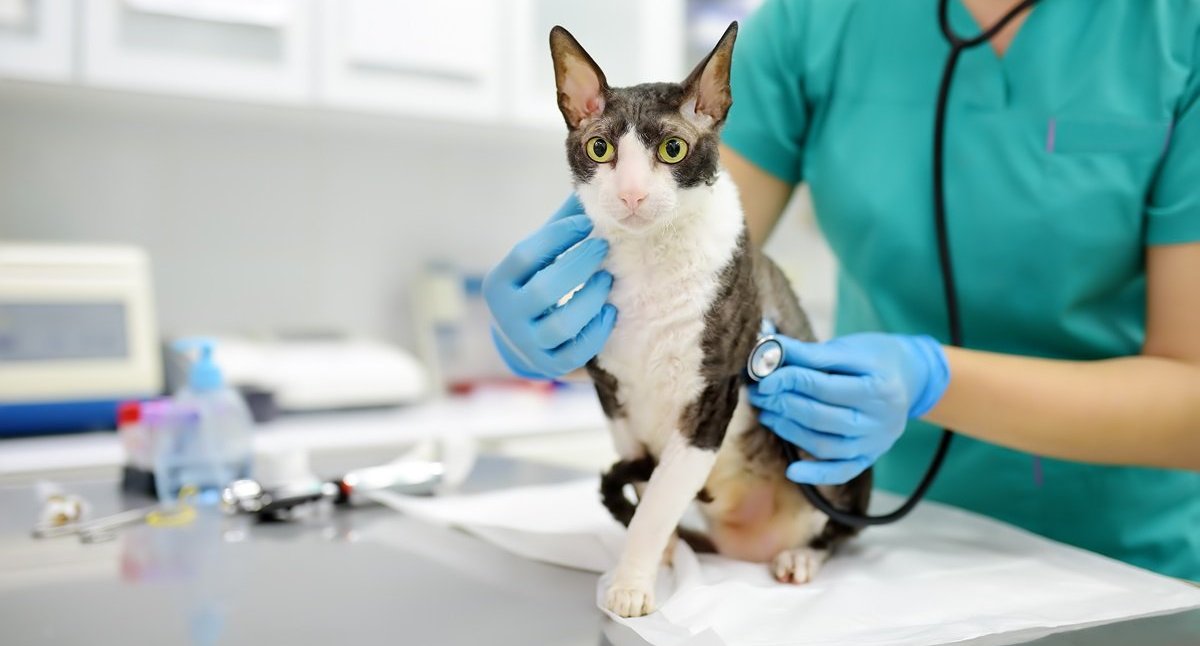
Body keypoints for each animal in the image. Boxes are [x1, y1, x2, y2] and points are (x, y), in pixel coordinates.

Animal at [547, 20, 873, 614]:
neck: (649, 265)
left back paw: (800, 557)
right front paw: (657, 562)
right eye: (600, 148)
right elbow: (648, 495)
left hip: (826, 448)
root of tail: (747, 544)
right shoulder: (612, 398)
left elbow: (655, 507)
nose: (632, 195)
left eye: (672, 149)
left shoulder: (712, 399)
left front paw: (632, 586)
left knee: (837, 528)